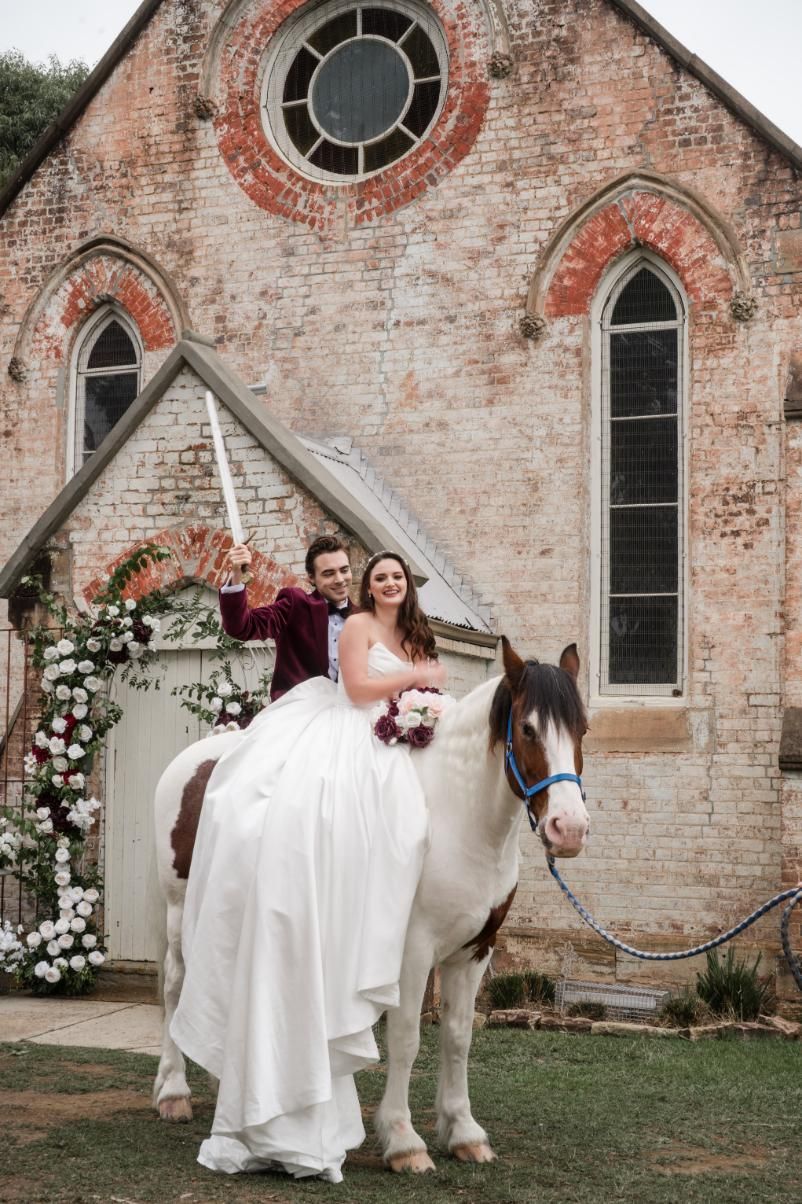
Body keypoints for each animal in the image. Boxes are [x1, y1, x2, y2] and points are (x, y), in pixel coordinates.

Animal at [151, 645, 587, 1170]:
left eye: (582, 729)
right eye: (526, 728)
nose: (570, 828)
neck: (452, 817)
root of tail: (201, 756)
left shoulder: (474, 951)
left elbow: (458, 1037)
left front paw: (463, 1131)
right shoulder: (411, 953)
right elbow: (405, 1039)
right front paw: (404, 1141)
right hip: (178, 912)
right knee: (175, 987)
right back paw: (173, 1093)